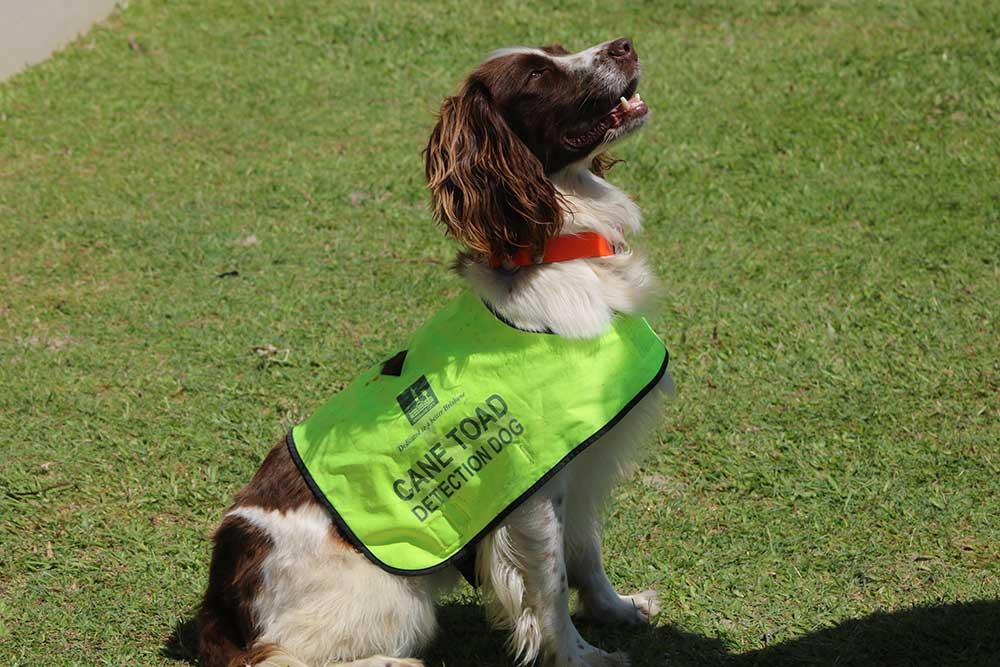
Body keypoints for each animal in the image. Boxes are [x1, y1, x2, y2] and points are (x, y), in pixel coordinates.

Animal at [199, 37, 672, 667]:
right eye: (536, 75)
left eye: (558, 49)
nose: (623, 45)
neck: (558, 255)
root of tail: (218, 609)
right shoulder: (530, 483)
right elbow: (549, 587)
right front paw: (580, 657)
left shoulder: (578, 460)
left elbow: (585, 553)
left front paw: (616, 609)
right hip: (390, 599)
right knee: (278, 658)